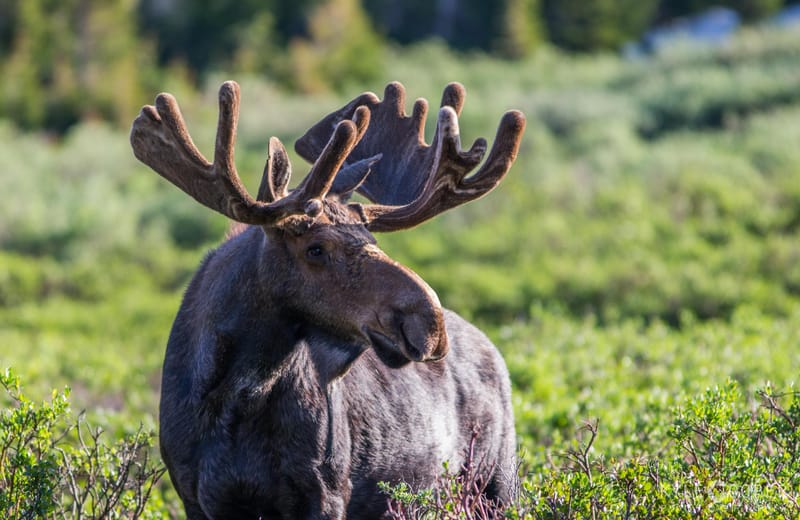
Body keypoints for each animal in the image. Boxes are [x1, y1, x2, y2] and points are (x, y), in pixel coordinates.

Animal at [130, 80, 525, 519]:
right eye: (315, 249)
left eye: (373, 240)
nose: (430, 324)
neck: (238, 393)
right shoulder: (195, 494)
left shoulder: (326, 492)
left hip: (499, 482)